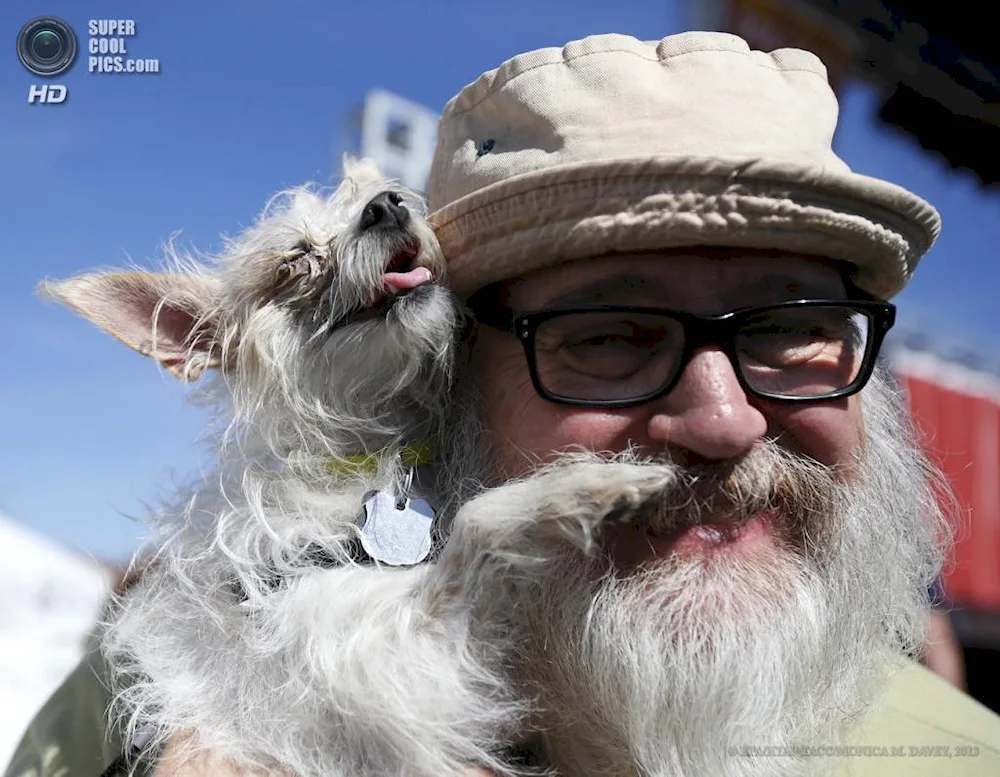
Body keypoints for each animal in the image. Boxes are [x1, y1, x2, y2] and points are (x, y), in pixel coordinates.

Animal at [39, 156, 668, 776]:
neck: (376, 455)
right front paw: (585, 483)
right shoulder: (394, 668)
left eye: (392, 194)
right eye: (293, 261)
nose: (386, 205)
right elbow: (480, 522)